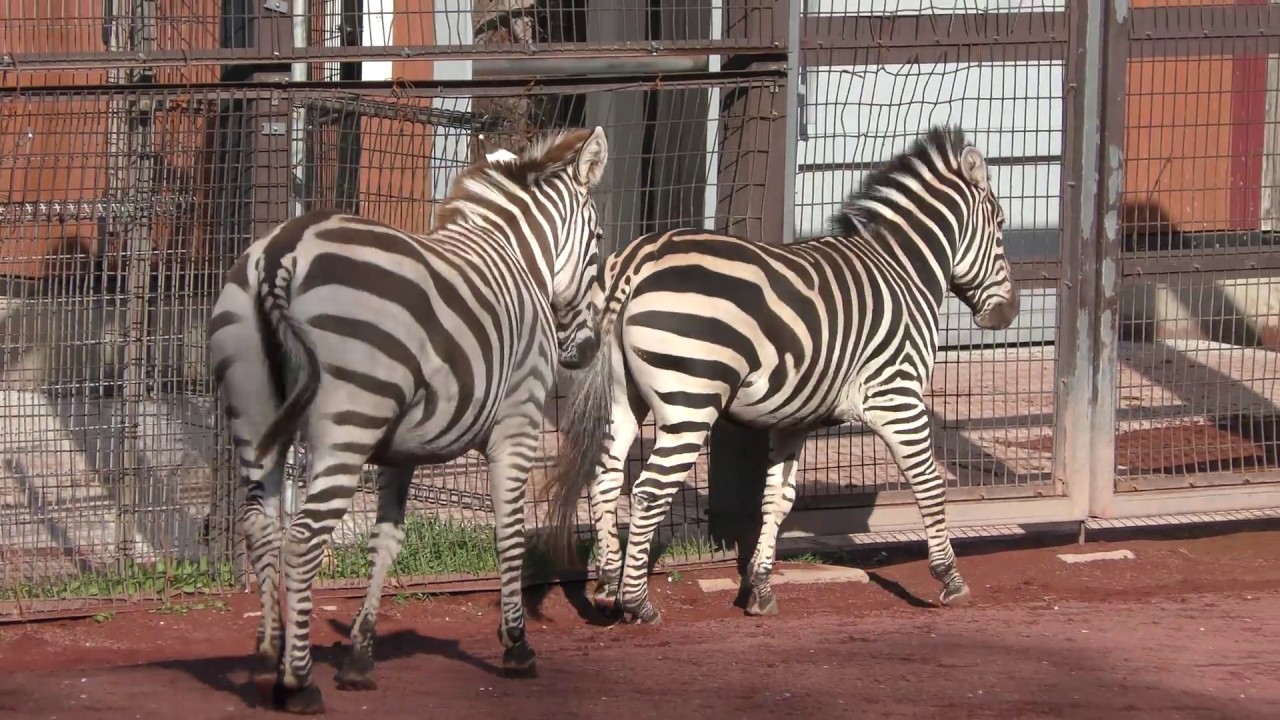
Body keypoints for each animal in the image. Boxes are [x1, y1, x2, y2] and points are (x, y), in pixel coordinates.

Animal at [206, 127, 609, 713]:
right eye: (598, 240)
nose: (588, 349)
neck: (515, 256)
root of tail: (285, 249)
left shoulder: (400, 452)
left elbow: (385, 543)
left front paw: (359, 656)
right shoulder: (517, 424)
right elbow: (510, 534)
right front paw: (516, 645)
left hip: (254, 417)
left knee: (261, 528)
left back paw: (270, 655)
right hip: (347, 424)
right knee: (302, 541)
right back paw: (298, 682)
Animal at [543, 125, 1018, 626]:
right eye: (1002, 225)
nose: (1008, 314)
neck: (902, 270)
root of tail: (638, 259)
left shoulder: (795, 419)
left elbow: (777, 499)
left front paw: (760, 587)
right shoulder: (897, 396)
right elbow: (927, 482)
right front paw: (950, 579)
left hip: (621, 398)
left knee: (605, 480)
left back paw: (605, 587)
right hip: (691, 401)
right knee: (649, 492)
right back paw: (637, 602)